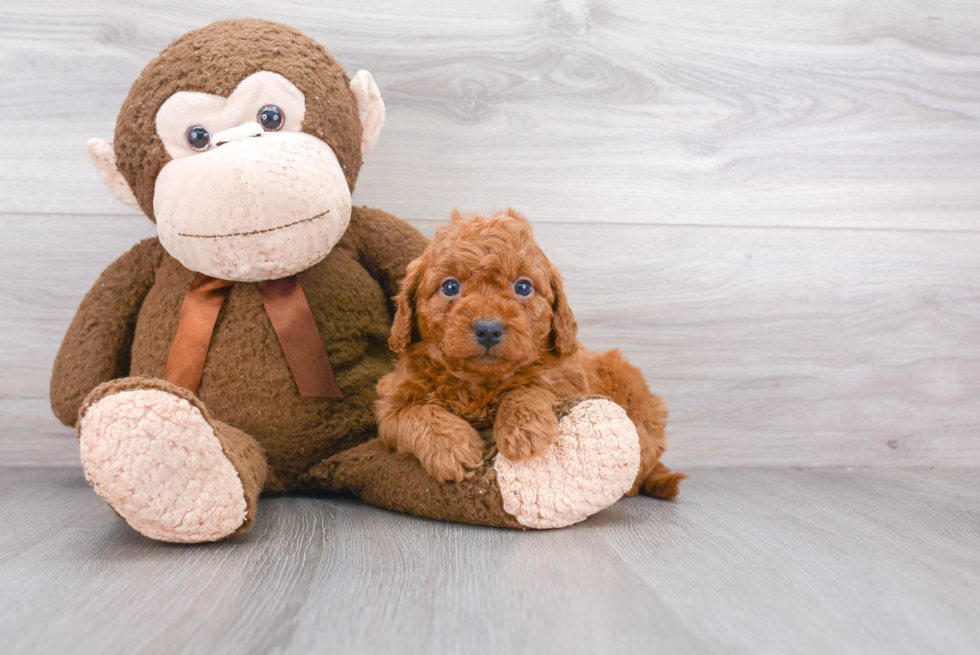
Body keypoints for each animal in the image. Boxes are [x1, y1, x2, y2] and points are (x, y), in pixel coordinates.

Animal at [372, 208, 684, 500]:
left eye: (523, 286)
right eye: (450, 286)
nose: (488, 329)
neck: (481, 383)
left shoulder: (567, 380)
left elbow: (530, 387)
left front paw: (522, 429)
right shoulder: (391, 405)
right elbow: (414, 413)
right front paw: (451, 448)